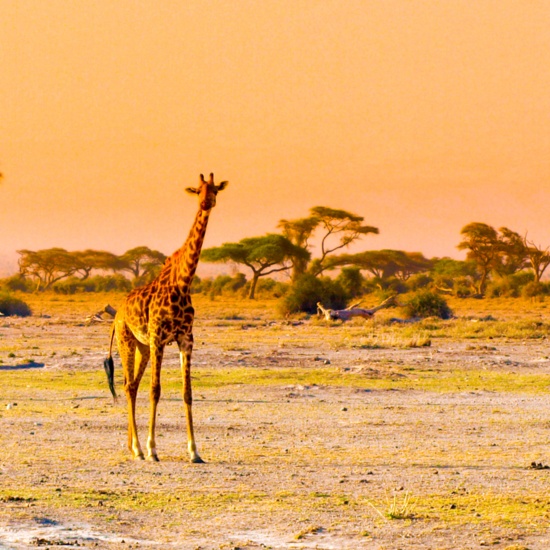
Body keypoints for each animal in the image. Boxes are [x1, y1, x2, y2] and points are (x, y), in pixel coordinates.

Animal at [103, 175, 229, 464]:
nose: (206, 203)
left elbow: (187, 392)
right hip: (128, 341)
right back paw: (139, 449)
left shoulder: (185, 339)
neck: (182, 283)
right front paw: (153, 449)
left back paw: (132, 447)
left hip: (143, 347)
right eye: (198, 190)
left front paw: (194, 451)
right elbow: (156, 390)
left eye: (215, 190)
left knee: (132, 385)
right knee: (129, 385)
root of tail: (117, 314)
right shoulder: (159, 337)